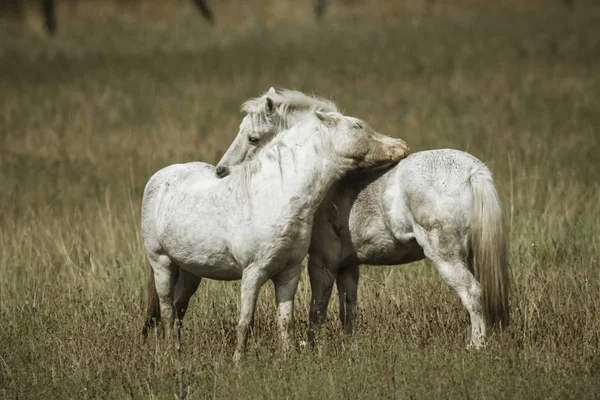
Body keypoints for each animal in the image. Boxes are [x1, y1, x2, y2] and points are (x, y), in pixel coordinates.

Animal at [141, 108, 410, 360]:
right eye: (357, 127)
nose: (401, 146)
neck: (276, 195)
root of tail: (159, 177)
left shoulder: (288, 273)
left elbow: (285, 320)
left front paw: (288, 357)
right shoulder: (252, 273)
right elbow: (245, 321)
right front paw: (238, 362)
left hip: (190, 272)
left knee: (177, 310)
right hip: (162, 263)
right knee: (167, 311)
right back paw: (171, 354)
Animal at [213, 89, 508, 348]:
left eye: (253, 138)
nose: (221, 172)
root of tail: (473, 171)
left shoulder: (323, 262)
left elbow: (317, 311)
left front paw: (311, 348)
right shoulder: (348, 266)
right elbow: (348, 311)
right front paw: (351, 348)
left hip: (446, 257)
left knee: (472, 293)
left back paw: (476, 346)